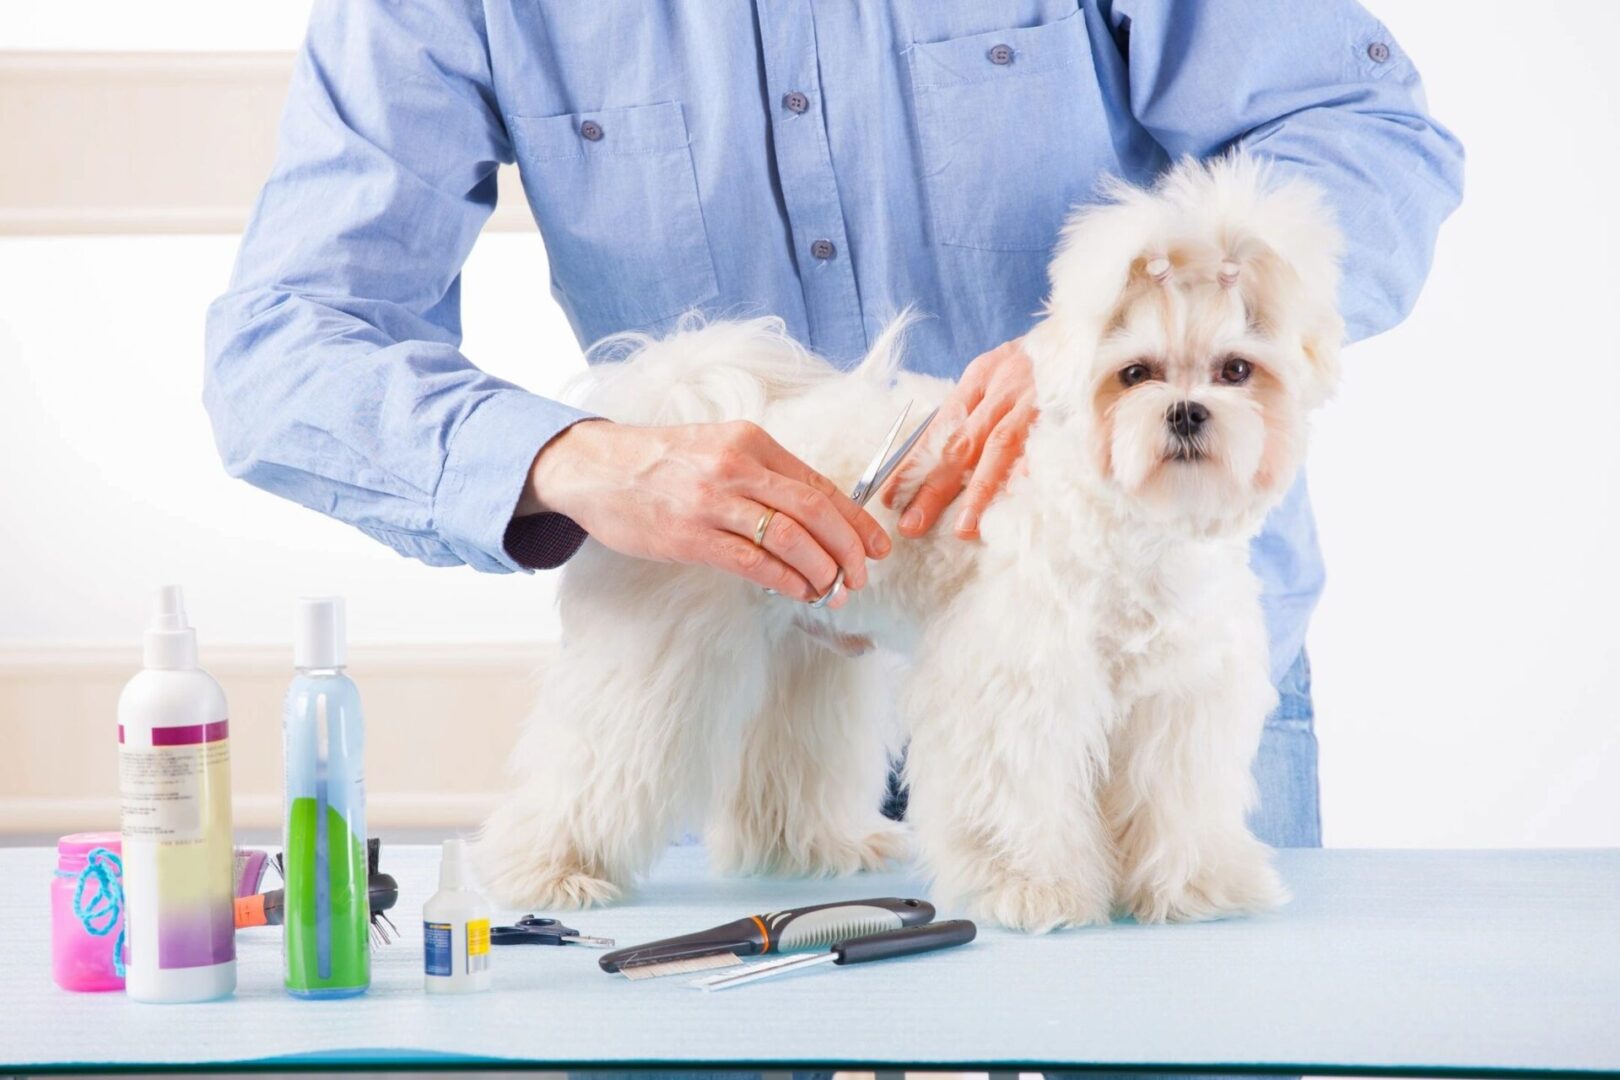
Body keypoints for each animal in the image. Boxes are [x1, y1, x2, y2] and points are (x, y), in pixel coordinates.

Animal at [476, 156, 1341, 932]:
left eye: (1236, 371)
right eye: (1136, 374)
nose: (1187, 412)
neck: (1132, 530)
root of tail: (682, 411)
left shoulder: (1178, 702)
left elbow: (1176, 804)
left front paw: (1195, 886)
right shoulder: (1016, 689)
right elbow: (1019, 798)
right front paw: (1030, 890)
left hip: (804, 657)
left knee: (782, 768)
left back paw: (813, 848)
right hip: (656, 663)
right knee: (590, 764)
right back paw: (553, 871)